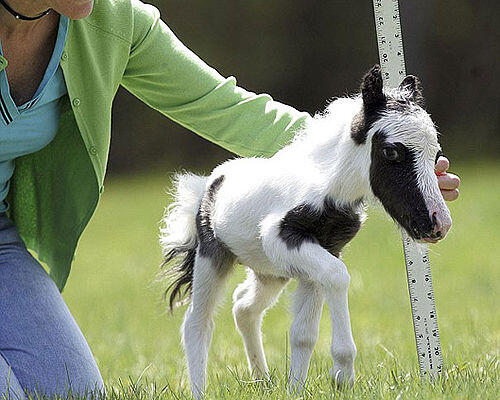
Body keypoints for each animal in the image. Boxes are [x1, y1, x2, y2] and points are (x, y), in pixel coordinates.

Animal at [161, 65, 454, 396]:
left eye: (436, 155)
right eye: (391, 152)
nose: (438, 223)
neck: (328, 188)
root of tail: (209, 183)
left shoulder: (320, 253)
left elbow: (303, 333)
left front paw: (296, 390)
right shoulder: (283, 239)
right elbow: (339, 277)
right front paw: (342, 373)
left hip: (270, 272)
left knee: (244, 306)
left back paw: (262, 379)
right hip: (213, 258)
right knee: (198, 321)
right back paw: (201, 389)